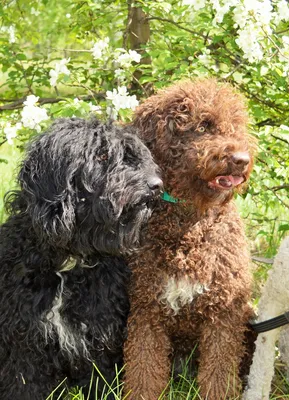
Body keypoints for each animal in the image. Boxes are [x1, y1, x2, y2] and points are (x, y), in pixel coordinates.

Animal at [0, 117, 162, 398]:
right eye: (101, 155)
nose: (156, 185)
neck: (69, 261)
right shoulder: (25, 340)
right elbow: (24, 383)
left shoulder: (100, 335)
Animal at [123, 79, 254, 400]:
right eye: (203, 126)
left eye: (236, 127)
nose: (241, 160)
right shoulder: (147, 309)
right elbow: (144, 369)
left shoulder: (223, 313)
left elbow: (218, 374)